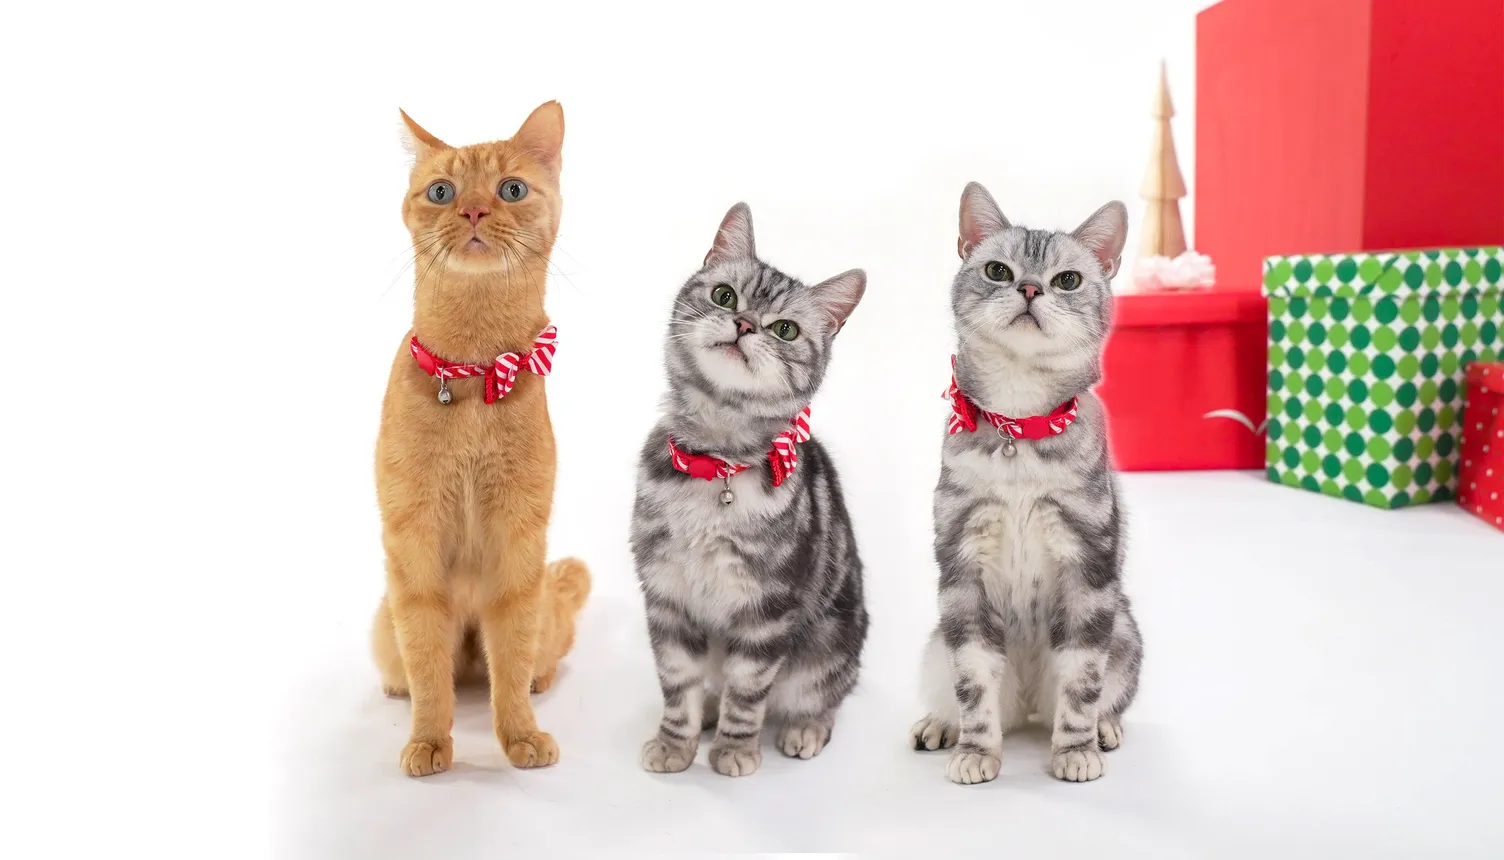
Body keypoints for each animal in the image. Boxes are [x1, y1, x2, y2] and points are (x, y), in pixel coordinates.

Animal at [369, 102, 592, 781]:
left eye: (510, 190)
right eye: (442, 192)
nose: (470, 211)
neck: (470, 378)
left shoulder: (519, 546)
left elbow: (511, 664)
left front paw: (519, 735)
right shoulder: (411, 549)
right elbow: (428, 670)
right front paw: (427, 741)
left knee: (536, 657)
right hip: (382, 624)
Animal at [631, 202, 878, 781]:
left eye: (785, 329)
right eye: (725, 296)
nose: (745, 324)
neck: (717, 461)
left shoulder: (767, 609)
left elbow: (748, 692)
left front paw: (735, 749)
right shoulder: (667, 596)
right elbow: (678, 685)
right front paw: (675, 743)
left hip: (830, 645)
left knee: (822, 696)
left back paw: (803, 728)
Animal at [908, 183, 1143, 787]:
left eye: (1069, 279)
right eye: (998, 270)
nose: (1032, 288)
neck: (1019, 424)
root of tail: (1033, 702)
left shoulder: (1088, 569)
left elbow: (1082, 681)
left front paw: (1075, 751)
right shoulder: (961, 570)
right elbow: (973, 683)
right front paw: (975, 751)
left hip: (1125, 632)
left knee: (1103, 695)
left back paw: (1106, 729)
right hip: (935, 643)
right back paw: (938, 726)